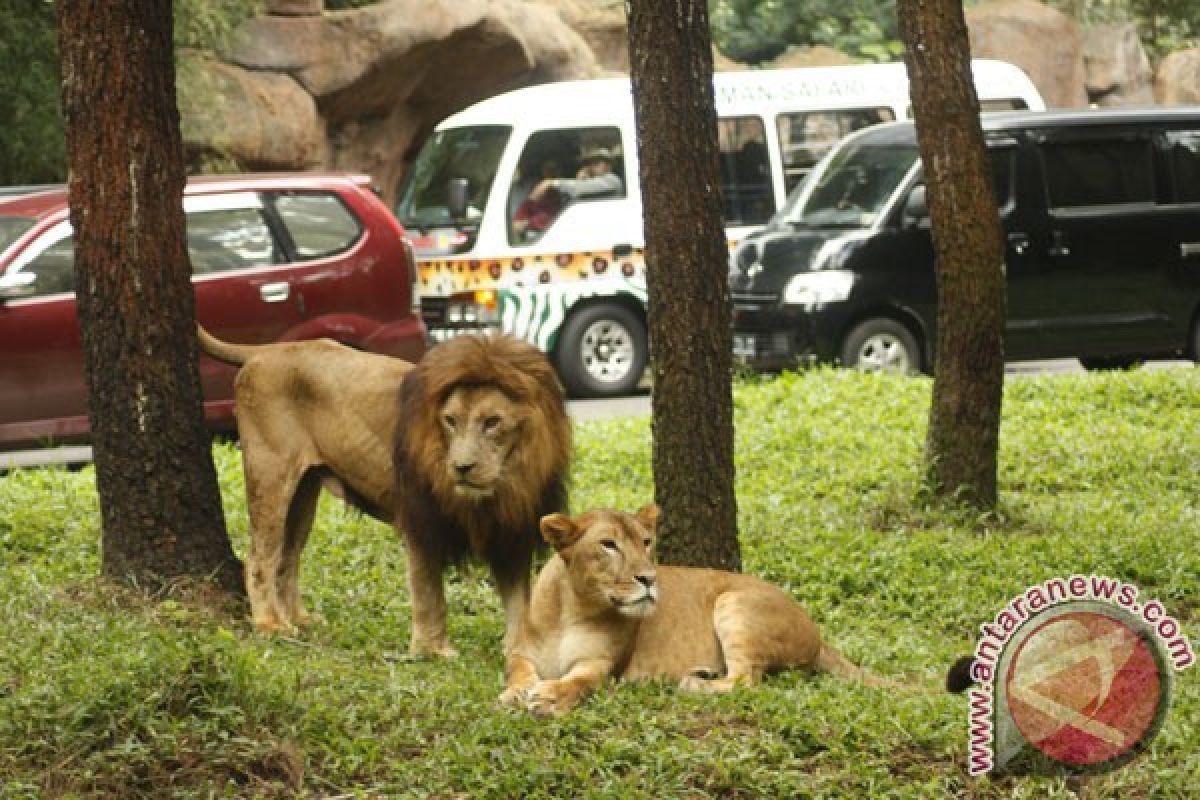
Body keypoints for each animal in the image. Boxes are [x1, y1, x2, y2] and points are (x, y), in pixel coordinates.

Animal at [499, 503, 902, 714]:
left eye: (646, 542)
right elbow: (518, 672)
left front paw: (549, 696)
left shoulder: (602, 665)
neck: (572, 609)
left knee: (746, 681)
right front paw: (515, 693)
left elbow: (578, 682)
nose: (649, 578)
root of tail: (817, 631)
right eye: (608, 544)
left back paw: (692, 682)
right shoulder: (520, 652)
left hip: (733, 603)